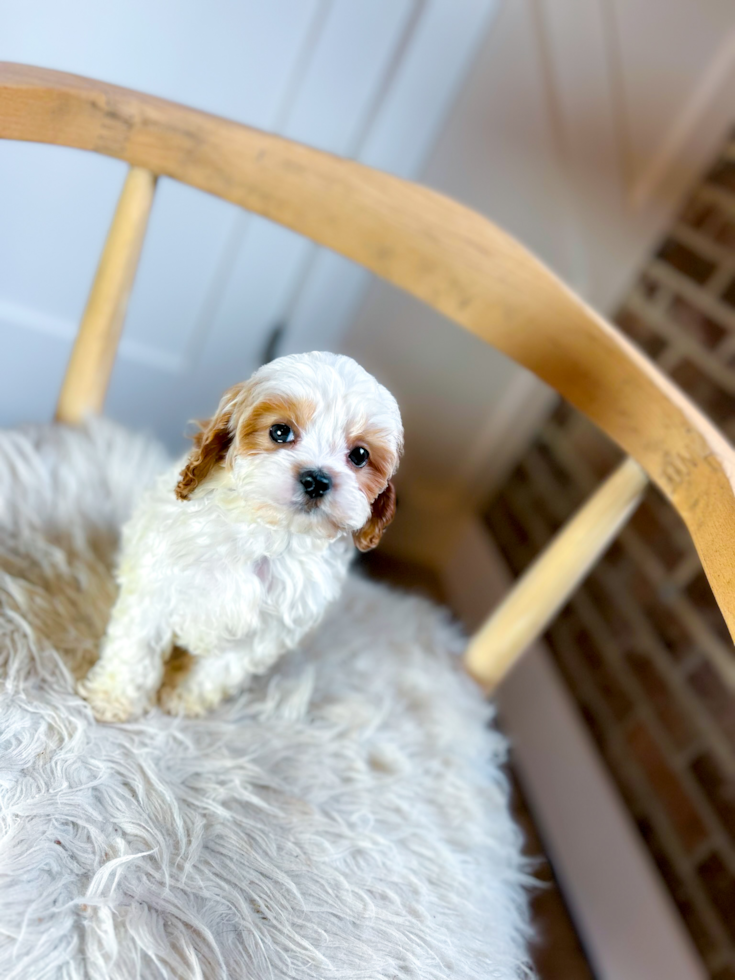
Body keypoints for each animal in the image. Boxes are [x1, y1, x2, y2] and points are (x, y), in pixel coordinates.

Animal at [79, 352, 402, 720]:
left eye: (360, 455)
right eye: (280, 431)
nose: (317, 480)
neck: (267, 533)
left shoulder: (267, 632)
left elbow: (220, 668)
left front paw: (185, 698)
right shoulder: (156, 584)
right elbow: (137, 647)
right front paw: (115, 697)